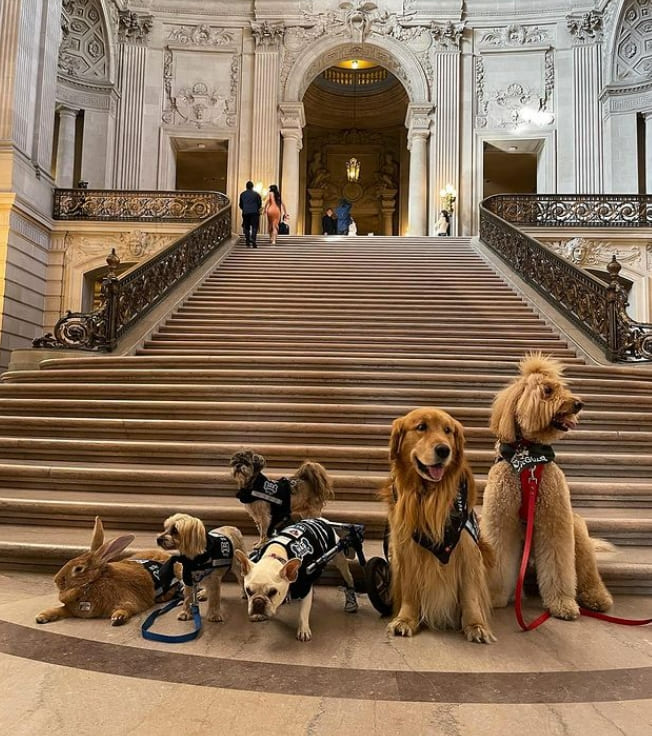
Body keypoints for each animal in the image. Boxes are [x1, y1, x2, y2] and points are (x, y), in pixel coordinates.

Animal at [36, 516, 180, 626]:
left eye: (78, 569)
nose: (56, 580)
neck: (92, 583)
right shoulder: (71, 609)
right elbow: (58, 610)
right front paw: (41, 617)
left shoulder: (129, 600)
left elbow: (128, 607)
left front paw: (118, 618)